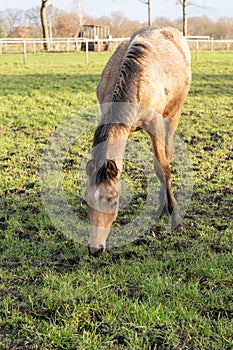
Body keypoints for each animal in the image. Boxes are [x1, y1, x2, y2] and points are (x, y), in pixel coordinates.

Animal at [83, 26, 191, 256]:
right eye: (85, 200)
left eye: (114, 201)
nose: (95, 248)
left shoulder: (155, 125)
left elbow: (162, 168)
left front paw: (175, 218)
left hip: (173, 114)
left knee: (167, 155)